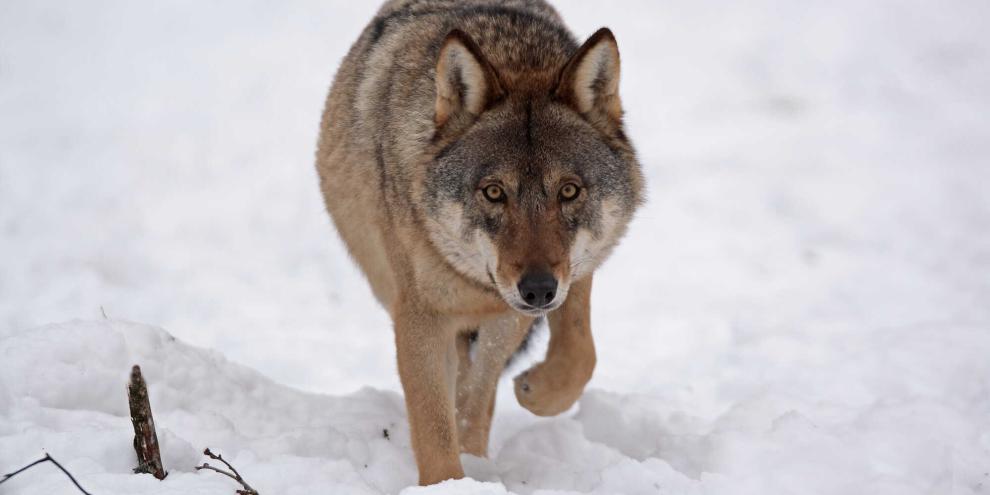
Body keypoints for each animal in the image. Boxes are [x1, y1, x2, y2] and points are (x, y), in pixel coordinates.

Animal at [315, 0, 643, 485]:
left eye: (569, 191)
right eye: (493, 192)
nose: (539, 289)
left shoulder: (521, 306)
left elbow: (575, 353)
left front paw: (534, 392)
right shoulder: (422, 314)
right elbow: (435, 424)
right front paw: (450, 484)